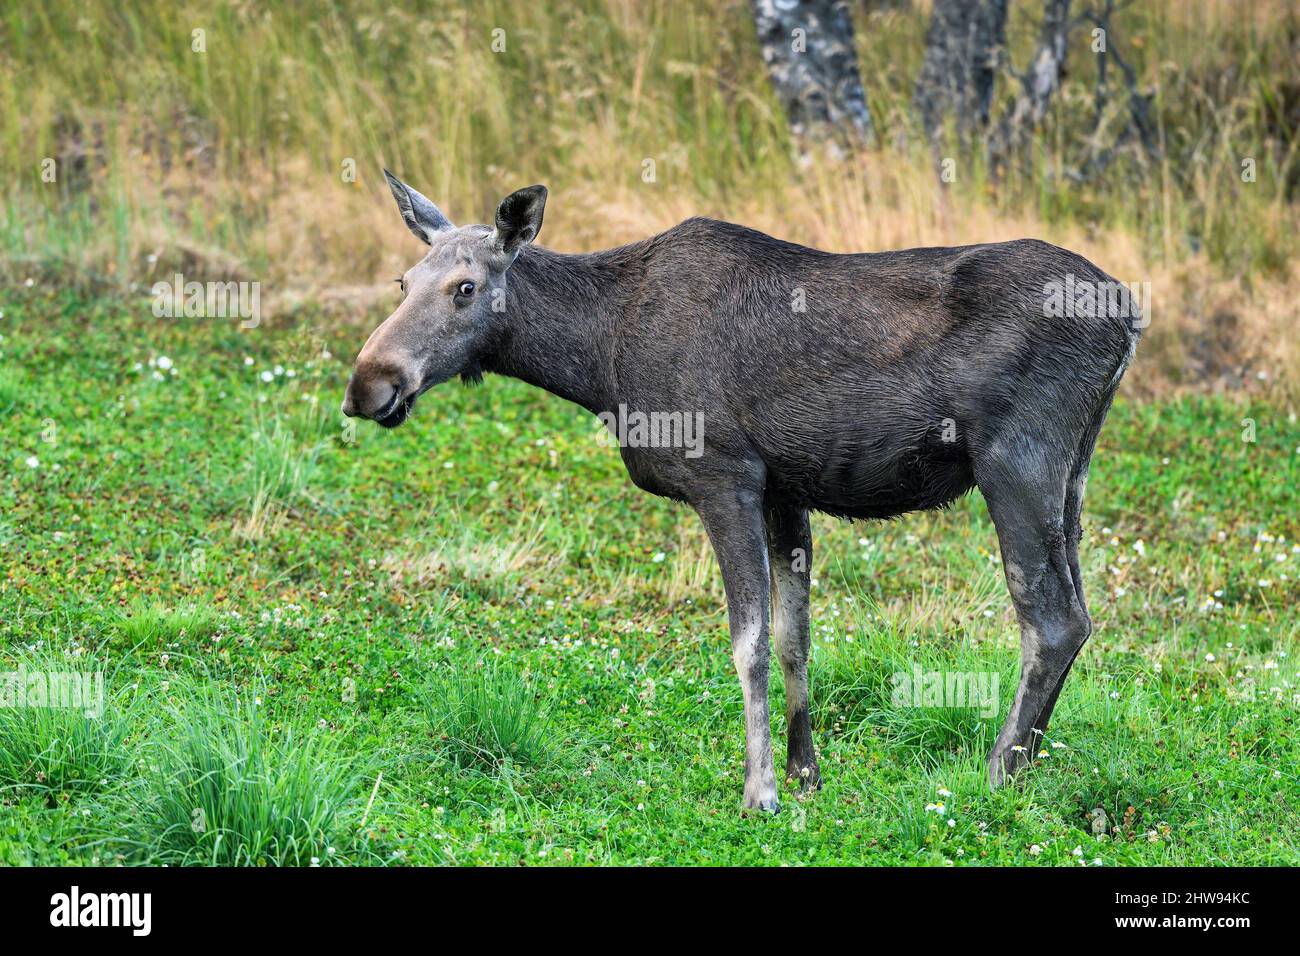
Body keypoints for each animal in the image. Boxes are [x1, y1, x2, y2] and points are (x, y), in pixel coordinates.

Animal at [343, 170, 1138, 806]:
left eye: (466, 288)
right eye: (403, 283)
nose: (367, 386)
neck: (597, 361)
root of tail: (1130, 314)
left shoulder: (724, 477)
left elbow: (747, 642)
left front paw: (760, 791)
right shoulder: (785, 489)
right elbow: (795, 637)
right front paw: (805, 773)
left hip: (1016, 461)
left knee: (1051, 620)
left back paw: (1001, 773)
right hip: (1072, 475)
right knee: (1079, 615)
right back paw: (1028, 763)